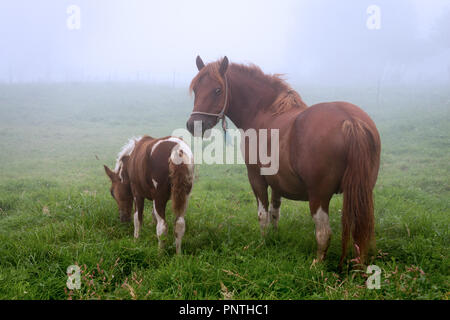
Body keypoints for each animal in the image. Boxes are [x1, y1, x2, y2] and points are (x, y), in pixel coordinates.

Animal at [186, 56, 380, 266]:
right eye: (196, 89)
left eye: (218, 90)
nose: (193, 125)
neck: (264, 113)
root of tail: (350, 121)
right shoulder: (277, 181)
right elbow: (274, 212)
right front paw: (275, 238)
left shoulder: (256, 177)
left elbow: (263, 215)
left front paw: (262, 244)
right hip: (360, 192)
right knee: (360, 232)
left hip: (319, 196)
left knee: (323, 233)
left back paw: (316, 265)